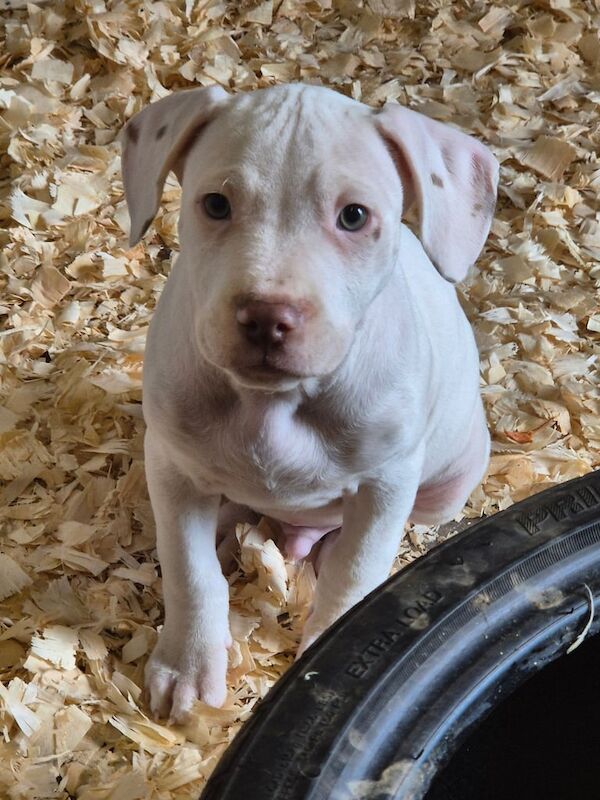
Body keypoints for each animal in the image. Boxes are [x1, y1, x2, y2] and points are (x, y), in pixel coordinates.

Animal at [120, 83, 496, 724]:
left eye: (354, 216)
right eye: (215, 204)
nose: (267, 318)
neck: (273, 404)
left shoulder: (387, 483)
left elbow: (356, 572)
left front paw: (330, 647)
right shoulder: (170, 464)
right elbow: (189, 571)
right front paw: (189, 666)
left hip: (449, 482)